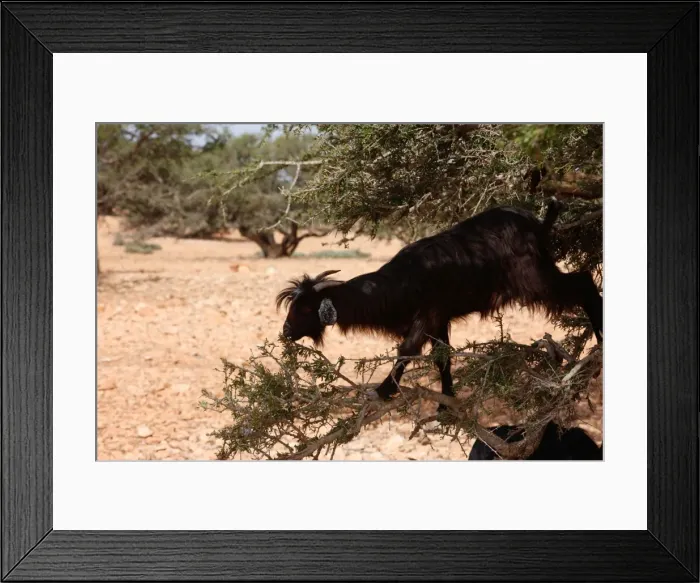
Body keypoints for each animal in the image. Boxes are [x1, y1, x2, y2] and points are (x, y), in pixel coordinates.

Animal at [276, 200, 603, 411]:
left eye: (305, 309)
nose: (286, 331)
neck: (398, 284)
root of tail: (536, 224)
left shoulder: (427, 315)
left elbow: (407, 351)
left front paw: (382, 391)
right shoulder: (439, 320)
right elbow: (442, 358)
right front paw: (447, 402)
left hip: (535, 279)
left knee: (584, 282)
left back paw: (600, 341)